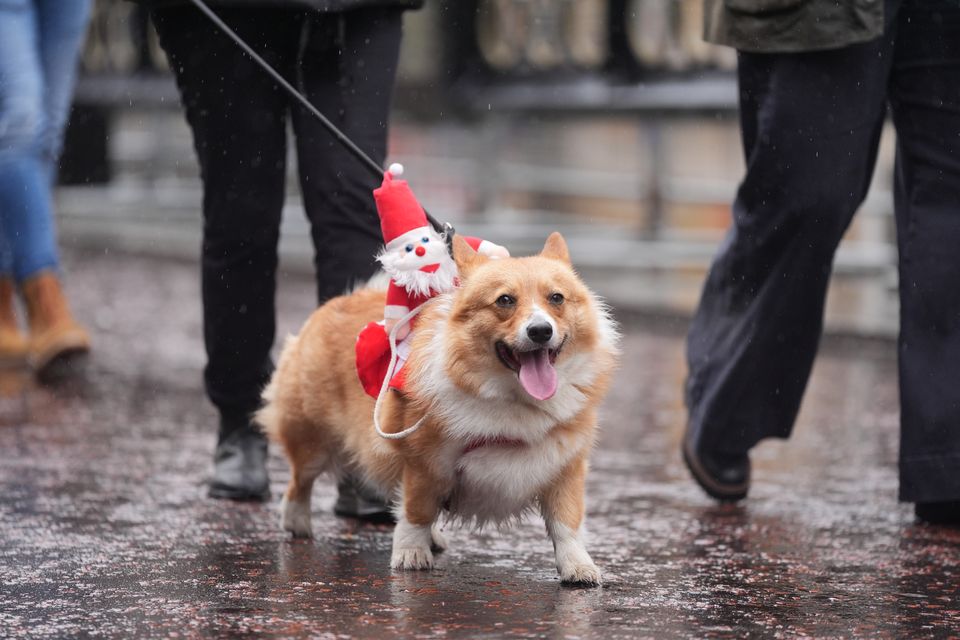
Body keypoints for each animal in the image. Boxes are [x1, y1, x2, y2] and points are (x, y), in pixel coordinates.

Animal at [256, 231, 616, 584]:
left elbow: (567, 524)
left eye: (556, 298)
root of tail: (345, 298)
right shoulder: (424, 461)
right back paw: (296, 522)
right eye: (504, 300)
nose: (540, 331)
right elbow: (415, 511)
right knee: (300, 480)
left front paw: (578, 566)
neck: (512, 400)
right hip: (312, 439)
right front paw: (410, 554)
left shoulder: (565, 465)